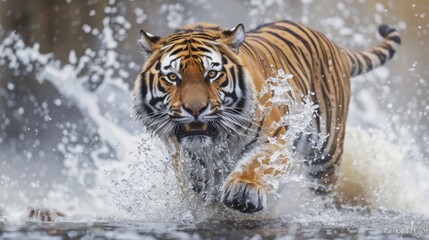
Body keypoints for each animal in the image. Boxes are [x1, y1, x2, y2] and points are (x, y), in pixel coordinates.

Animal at [132, 19, 400, 213]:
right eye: (172, 77)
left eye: (212, 74)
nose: (195, 109)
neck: (216, 142)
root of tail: (335, 45)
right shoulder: (187, 161)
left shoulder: (275, 138)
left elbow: (257, 165)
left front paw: (243, 192)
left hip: (325, 152)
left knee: (323, 189)